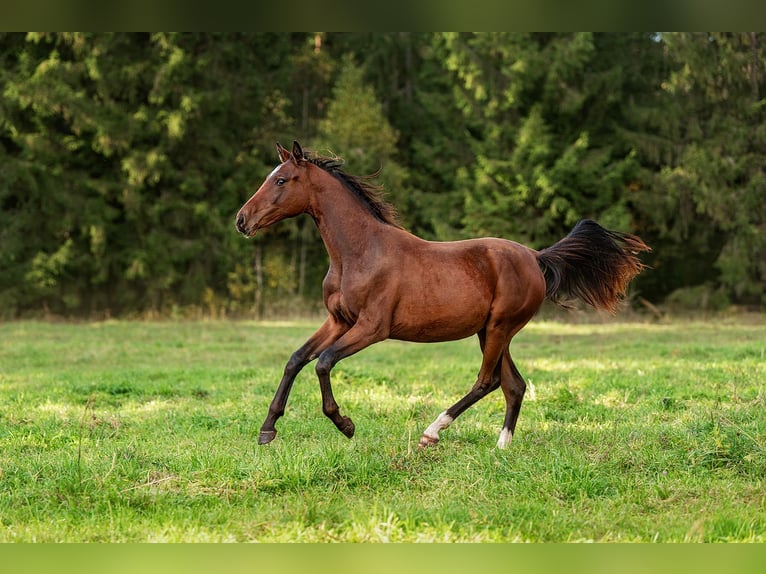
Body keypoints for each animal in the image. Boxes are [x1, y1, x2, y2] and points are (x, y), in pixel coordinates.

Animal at [235, 141, 650, 449]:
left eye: (282, 180)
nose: (242, 220)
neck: (358, 252)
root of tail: (535, 256)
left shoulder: (372, 328)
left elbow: (323, 362)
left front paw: (346, 424)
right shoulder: (338, 320)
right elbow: (296, 359)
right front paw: (267, 429)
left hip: (499, 328)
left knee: (488, 381)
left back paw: (432, 432)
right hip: (491, 331)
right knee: (513, 384)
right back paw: (502, 446)